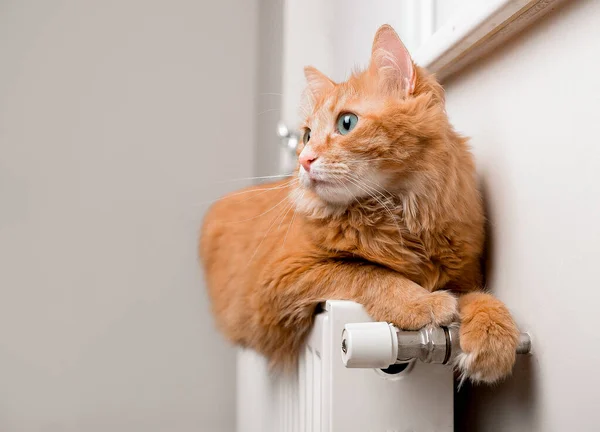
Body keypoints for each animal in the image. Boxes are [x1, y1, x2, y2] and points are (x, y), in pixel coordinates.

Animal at [202, 25, 520, 384]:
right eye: (307, 135)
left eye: (346, 123)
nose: (303, 160)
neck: (401, 214)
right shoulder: (282, 279)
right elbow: (366, 271)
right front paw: (421, 303)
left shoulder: (463, 277)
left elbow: (482, 299)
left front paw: (494, 338)